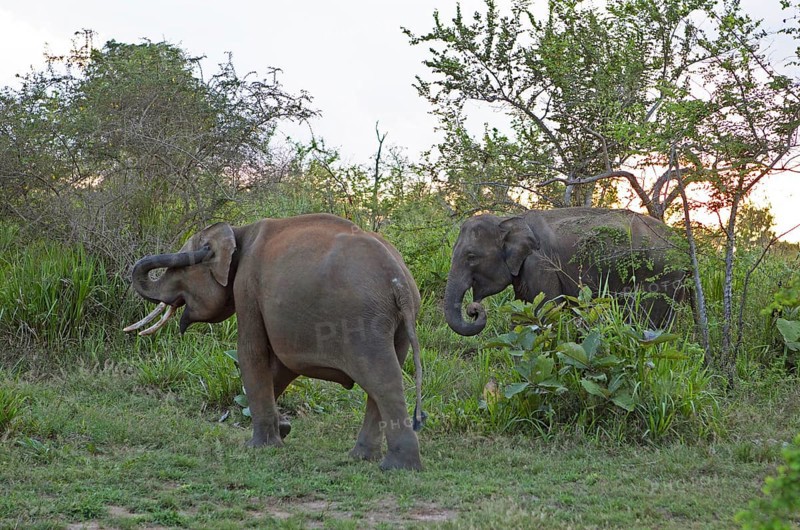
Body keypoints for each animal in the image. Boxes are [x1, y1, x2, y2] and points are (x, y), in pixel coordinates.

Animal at [124, 213, 425, 470]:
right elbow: (281, 367)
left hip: (363, 322)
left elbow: (251, 353)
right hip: (395, 326)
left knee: (381, 380)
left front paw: (259, 446)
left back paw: (397, 467)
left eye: (179, 271)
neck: (238, 231)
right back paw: (361, 457)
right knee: (384, 377)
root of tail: (399, 282)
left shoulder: (246, 286)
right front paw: (283, 429)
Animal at [444, 207, 688, 336]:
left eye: (471, 256)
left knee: (644, 320)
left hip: (660, 277)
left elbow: (547, 310)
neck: (508, 218)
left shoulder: (540, 265)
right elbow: (524, 312)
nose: (474, 309)